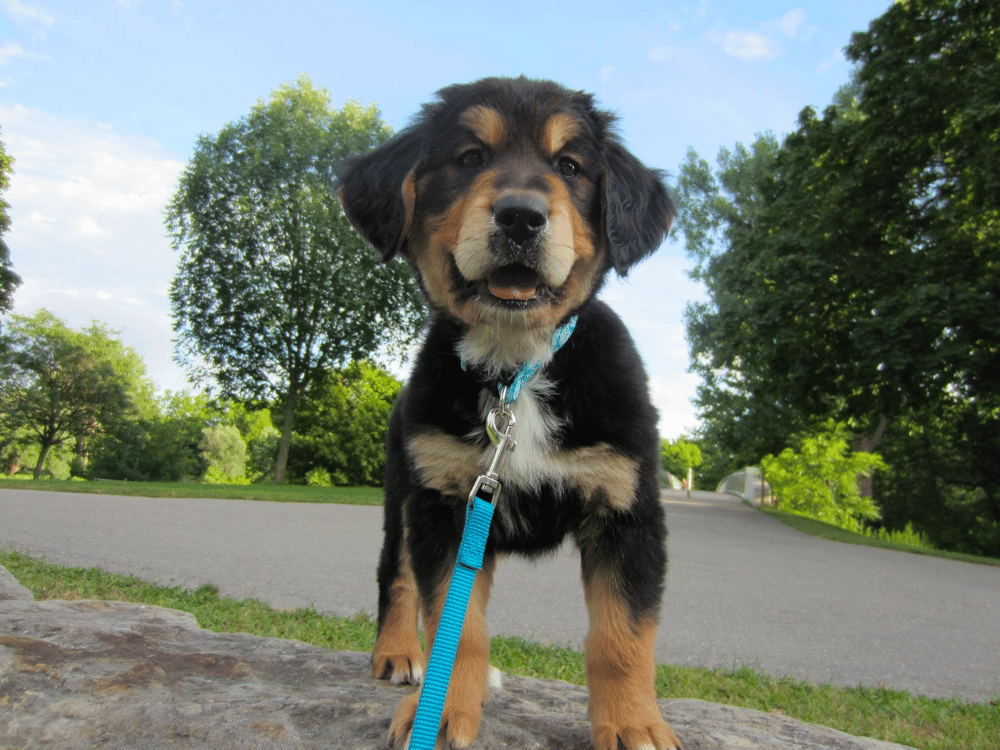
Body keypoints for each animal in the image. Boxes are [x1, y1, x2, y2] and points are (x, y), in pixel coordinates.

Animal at [338, 76, 680, 750]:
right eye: (470, 158)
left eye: (569, 166)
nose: (521, 216)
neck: (514, 367)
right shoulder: (445, 503)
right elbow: (457, 623)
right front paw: (441, 713)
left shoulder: (627, 509)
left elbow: (621, 637)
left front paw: (634, 725)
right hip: (401, 492)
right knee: (396, 575)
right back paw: (399, 654)